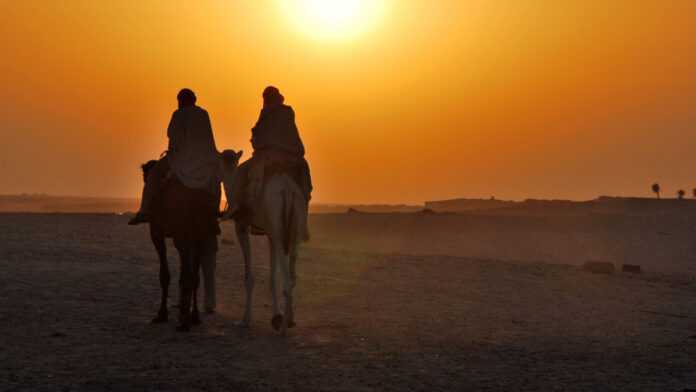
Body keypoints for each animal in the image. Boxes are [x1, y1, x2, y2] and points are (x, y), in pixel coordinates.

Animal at [220, 150, 308, 336]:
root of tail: (287, 190)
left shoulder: (242, 226)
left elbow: (249, 277)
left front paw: (244, 321)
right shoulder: (269, 235)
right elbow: (272, 277)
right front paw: (276, 316)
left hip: (278, 227)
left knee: (287, 279)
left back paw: (283, 330)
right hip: (293, 226)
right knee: (292, 274)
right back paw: (289, 321)